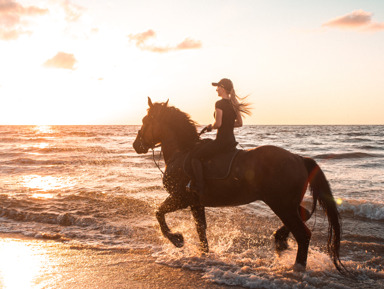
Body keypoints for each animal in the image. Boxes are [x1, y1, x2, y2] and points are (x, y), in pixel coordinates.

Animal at [134, 97, 346, 272]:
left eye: (145, 121)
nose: (136, 145)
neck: (181, 152)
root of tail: (299, 158)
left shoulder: (180, 198)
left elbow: (159, 214)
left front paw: (177, 239)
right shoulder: (195, 203)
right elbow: (200, 229)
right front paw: (204, 254)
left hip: (281, 204)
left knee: (303, 234)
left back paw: (297, 267)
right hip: (289, 204)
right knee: (305, 214)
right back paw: (280, 241)